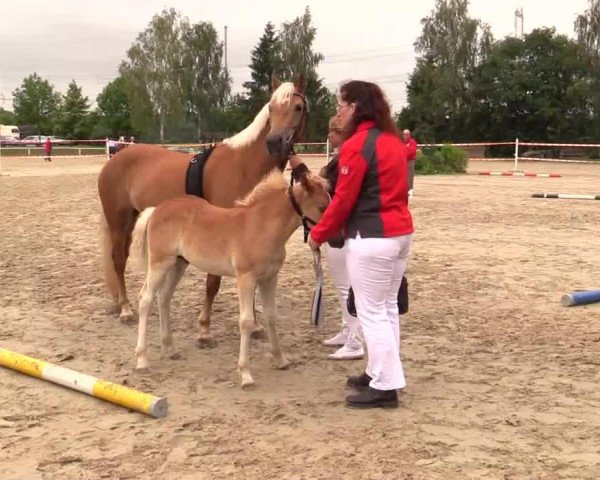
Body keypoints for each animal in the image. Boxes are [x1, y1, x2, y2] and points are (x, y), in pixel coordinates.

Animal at [99, 75, 310, 344]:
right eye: (271, 108)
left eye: (298, 107)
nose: (274, 143)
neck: (243, 166)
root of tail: (115, 158)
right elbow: (213, 283)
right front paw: (204, 329)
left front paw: (254, 326)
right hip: (118, 220)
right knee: (118, 260)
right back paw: (126, 310)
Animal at [128, 171, 330, 388]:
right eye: (322, 206)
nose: (338, 237)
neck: (260, 226)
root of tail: (156, 209)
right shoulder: (246, 278)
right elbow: (246, 321)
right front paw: (246, 374)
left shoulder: (269, 278)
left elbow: (271, 316)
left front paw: (280, 359)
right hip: (160, 263)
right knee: (146, 299)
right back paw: (142, 359)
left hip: (178, 264)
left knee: (164, 298)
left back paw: (170, 349)